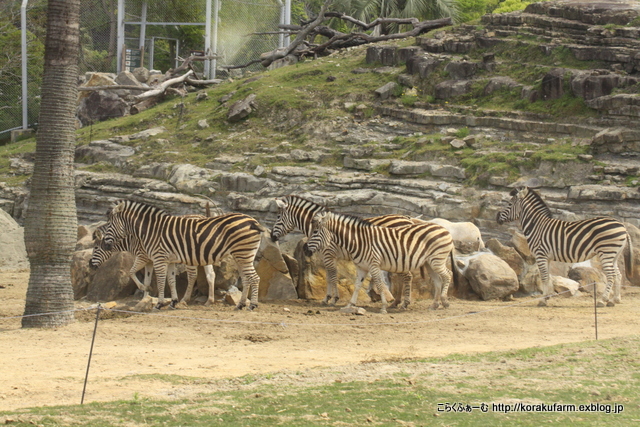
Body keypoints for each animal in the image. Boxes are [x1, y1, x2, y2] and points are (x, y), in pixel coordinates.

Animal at [89, 226, 218, 306]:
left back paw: (184, 299)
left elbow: (131, 272)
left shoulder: (142, 258)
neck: (132, 240)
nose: (90, 265)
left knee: (192, 276)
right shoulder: (149, 261)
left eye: (95, 248)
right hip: (204, 255)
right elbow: (147, 279)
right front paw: (145, 299)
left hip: (190, 258)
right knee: (210, 274)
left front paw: (145, 292)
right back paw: (209, 300)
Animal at [268, 196, 422, 306]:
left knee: (406, 276)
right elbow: (330, 277)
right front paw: (328, 298)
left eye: (278, 217)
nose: (272, 237)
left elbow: (332, 276)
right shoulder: (329, 256)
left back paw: (401, 303)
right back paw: (398, 302)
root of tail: (407, 218)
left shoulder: (328, 254)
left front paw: (332, 299)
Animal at [302, 211, 452, 314]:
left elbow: (379, 285)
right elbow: (357, 285)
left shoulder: (374, 265)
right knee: (438, 280)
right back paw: (434, 305)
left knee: (448, 275)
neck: (358, 241)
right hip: (429, 263)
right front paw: (350, 305)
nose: (305, 250)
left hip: (437, 260)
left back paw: (445, 301)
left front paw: (383, 307)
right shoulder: (361, 267)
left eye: (315, 232)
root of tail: (443, 228)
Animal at [498, 187, 632, 308]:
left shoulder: (540, 254)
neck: (536, 226)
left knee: (611, 275)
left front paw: (543, 300)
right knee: (618, 275)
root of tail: (622, 226)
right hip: (614, 254)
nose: (497, 218)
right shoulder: (547, 257)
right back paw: (614, 300)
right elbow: (548, 277)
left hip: (606, 252)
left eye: (509, 204)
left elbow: (544, 277)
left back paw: (602, 300)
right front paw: (548, 297)